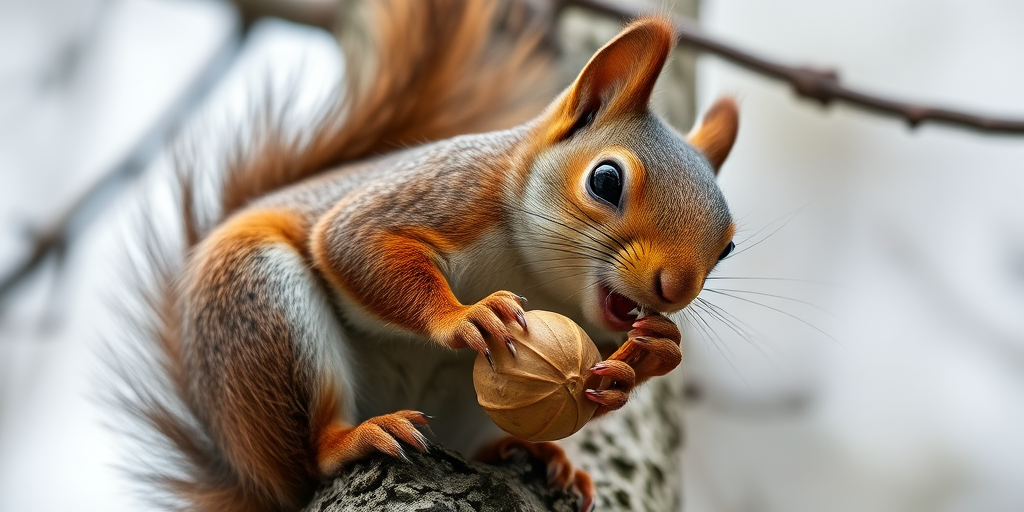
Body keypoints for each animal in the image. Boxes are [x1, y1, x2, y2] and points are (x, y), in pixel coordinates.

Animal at [116, 0, 739, 511]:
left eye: (728, 246)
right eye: (606, 180)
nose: (674, 288)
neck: (541, 277)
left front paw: (650, 357)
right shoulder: (447, 195)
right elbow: (358, 243)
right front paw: (465, 317)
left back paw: (536, 454)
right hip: (260, 306)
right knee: (309, 456)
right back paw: (351, 439)